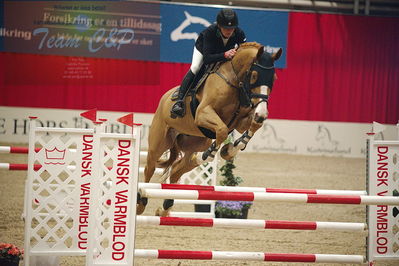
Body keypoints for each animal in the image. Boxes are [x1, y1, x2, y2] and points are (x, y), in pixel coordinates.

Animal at [139, 42, 282, 216]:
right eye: (254, 75)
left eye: (273, 78)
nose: (262, 113)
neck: (235, 82)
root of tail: (164, 98)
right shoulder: (203, 113)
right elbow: (221, 130)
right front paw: (218, 151)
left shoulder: (240, 122)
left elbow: (253, 126)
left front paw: (230, 150)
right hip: (159, 143)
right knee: (149, 168)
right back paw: (141, 203)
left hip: (196, 143)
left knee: (177, 169)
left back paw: (165, 208)